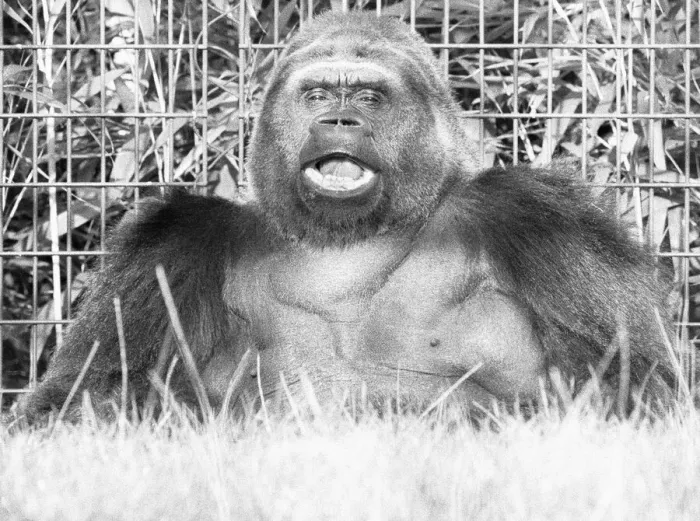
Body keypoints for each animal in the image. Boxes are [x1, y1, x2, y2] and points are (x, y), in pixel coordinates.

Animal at [18, 11, 674, 421]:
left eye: (367, 97)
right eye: (316, 95)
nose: (339, 120)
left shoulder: (541, 216)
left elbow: (634, 386)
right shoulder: (174, 243)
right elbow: (86, 399)